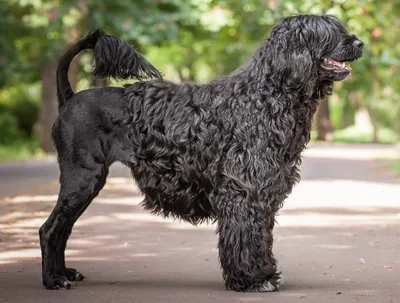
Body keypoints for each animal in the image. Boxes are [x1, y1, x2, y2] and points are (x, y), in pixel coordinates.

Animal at [39, 13, 362, 292]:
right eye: (327, 32)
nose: (359, 43)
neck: (267, 96)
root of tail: (69, 98)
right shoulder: (243, 193)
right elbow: (246, 237)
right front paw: (253, 280)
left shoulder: (264, 193)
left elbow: (261, 237)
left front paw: (263, 274)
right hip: (82, 178)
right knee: (49, 229)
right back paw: (53, 280)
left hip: (87, 183)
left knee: (63, 230)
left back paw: (64, 273)